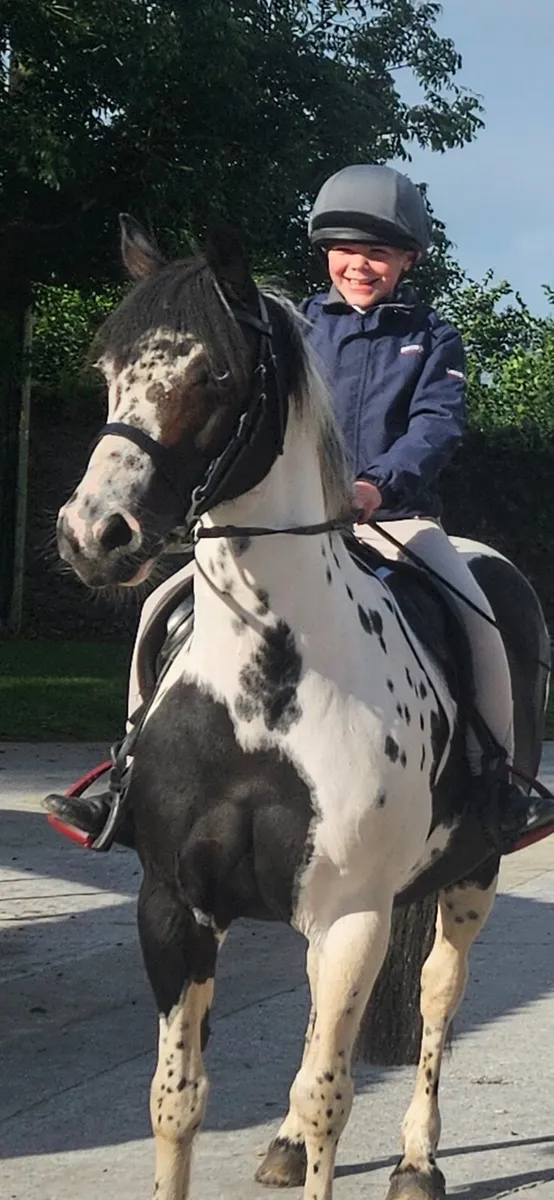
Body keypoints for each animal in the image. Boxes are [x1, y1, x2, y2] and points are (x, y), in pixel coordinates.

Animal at [54, 216, 550, 1200]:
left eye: (216, 375)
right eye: (106, 368)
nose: (94, 536)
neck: (260, 696)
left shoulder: (352, 914)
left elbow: (331, 1096)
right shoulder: (171, 907)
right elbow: (177, 1100)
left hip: (470, 879)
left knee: (436, 998)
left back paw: (417, 1160)